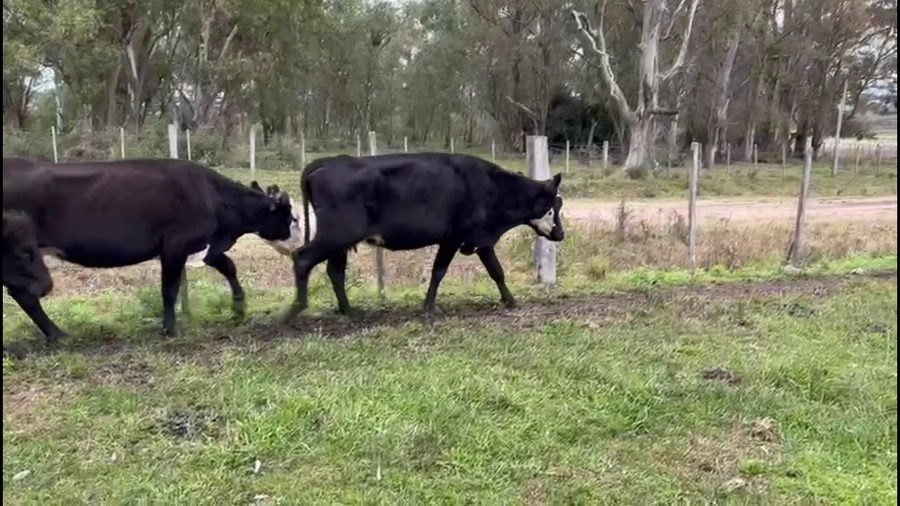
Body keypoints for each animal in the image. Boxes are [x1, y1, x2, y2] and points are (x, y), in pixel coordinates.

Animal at [2, 156, 299, 342]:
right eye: (290, 216)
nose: (294, 240)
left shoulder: (203, 245)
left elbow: (228, 266)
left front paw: (238, 307)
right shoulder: (175, 245)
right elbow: (169, 289)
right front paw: (169, 328)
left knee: (23, 294)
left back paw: (56, 334)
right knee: (25, 294)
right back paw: (57, 334)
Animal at [282, 152, 565, 323]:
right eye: (553, 207)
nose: (560, 234)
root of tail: (326, 161)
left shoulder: (481, 241)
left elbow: (496, 271)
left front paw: (510, 300)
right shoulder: (453, 238)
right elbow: (439, 272)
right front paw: (428, 307)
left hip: (340, 241)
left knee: (335, 271)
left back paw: (348, 311)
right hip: (336, 235)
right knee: (303, 258)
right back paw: (296, 308)